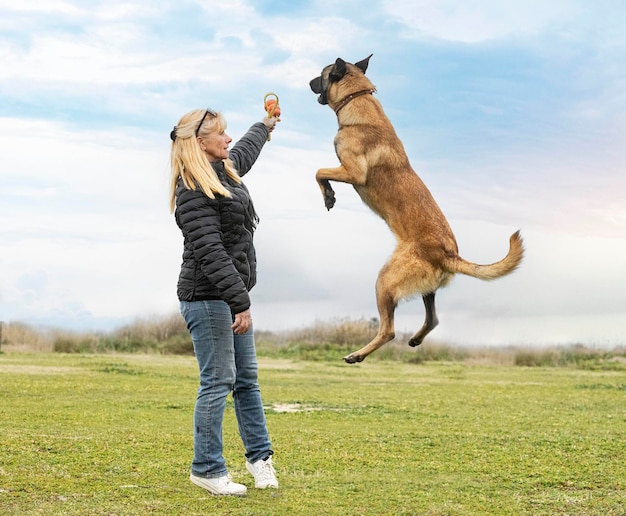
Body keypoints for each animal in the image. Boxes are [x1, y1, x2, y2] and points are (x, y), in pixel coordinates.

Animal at [308, 54, 520, 362]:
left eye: (321, 75)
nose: (308, 82)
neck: (357, 99)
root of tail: (449, 254)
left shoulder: (352, 171)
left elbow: (319, 171)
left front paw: (328, 196)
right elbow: (320, 172)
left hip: (385, 280)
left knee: (388, 330)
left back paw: (358, 354)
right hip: (425, 288)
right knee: (432, 319)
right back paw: (416, 339)